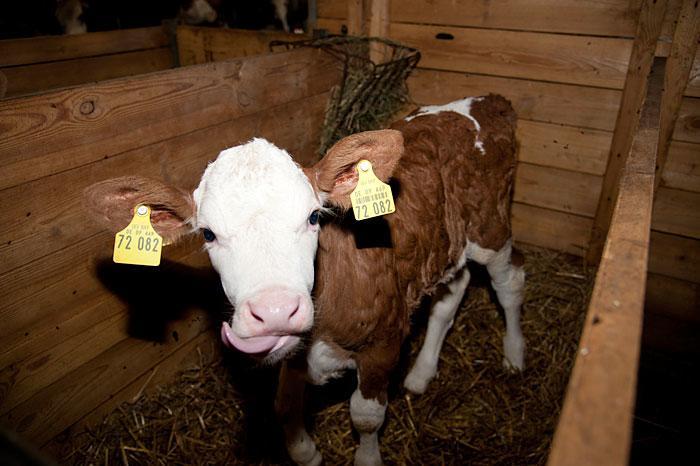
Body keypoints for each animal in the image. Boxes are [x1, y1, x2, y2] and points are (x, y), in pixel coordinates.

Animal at [86, 94, 524, 466]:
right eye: (207, 234)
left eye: (314, 216)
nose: (275, 311)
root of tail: (485, 101)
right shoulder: (294, 359)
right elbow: (283, 409)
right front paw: (307, 452)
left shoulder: (383, 341)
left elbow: (366, 416)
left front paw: (367, 458)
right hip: (446, 244)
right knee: (452, 292)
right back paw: (421, 374)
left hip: (491, 229)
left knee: (510, 282)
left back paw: (515, 356)